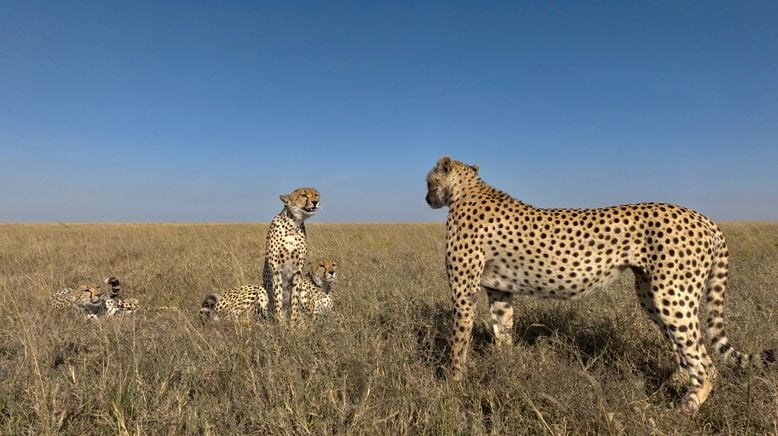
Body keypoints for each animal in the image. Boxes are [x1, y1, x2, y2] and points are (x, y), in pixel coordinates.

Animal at [262, 187, 320, 324]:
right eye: (304, 195)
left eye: (316, 195)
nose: (315, 202)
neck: (293, 225)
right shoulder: (276, 271)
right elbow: (278, 300)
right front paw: (280, 324)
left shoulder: (297, 272)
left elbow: (294, 301)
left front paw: (293, 325)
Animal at [424, 156, 768, 412]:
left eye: (428, 181)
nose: (427, 198)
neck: (467, 190)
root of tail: (705, 219)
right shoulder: (500, 291)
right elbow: (503, 333)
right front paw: (506, 372)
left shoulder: (464, 291)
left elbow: (458, 341)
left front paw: (452, 384)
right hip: (653, 295)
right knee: (687, 352)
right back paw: (669, 388)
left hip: (671, 296)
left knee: (706, 362)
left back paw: (686, 407)